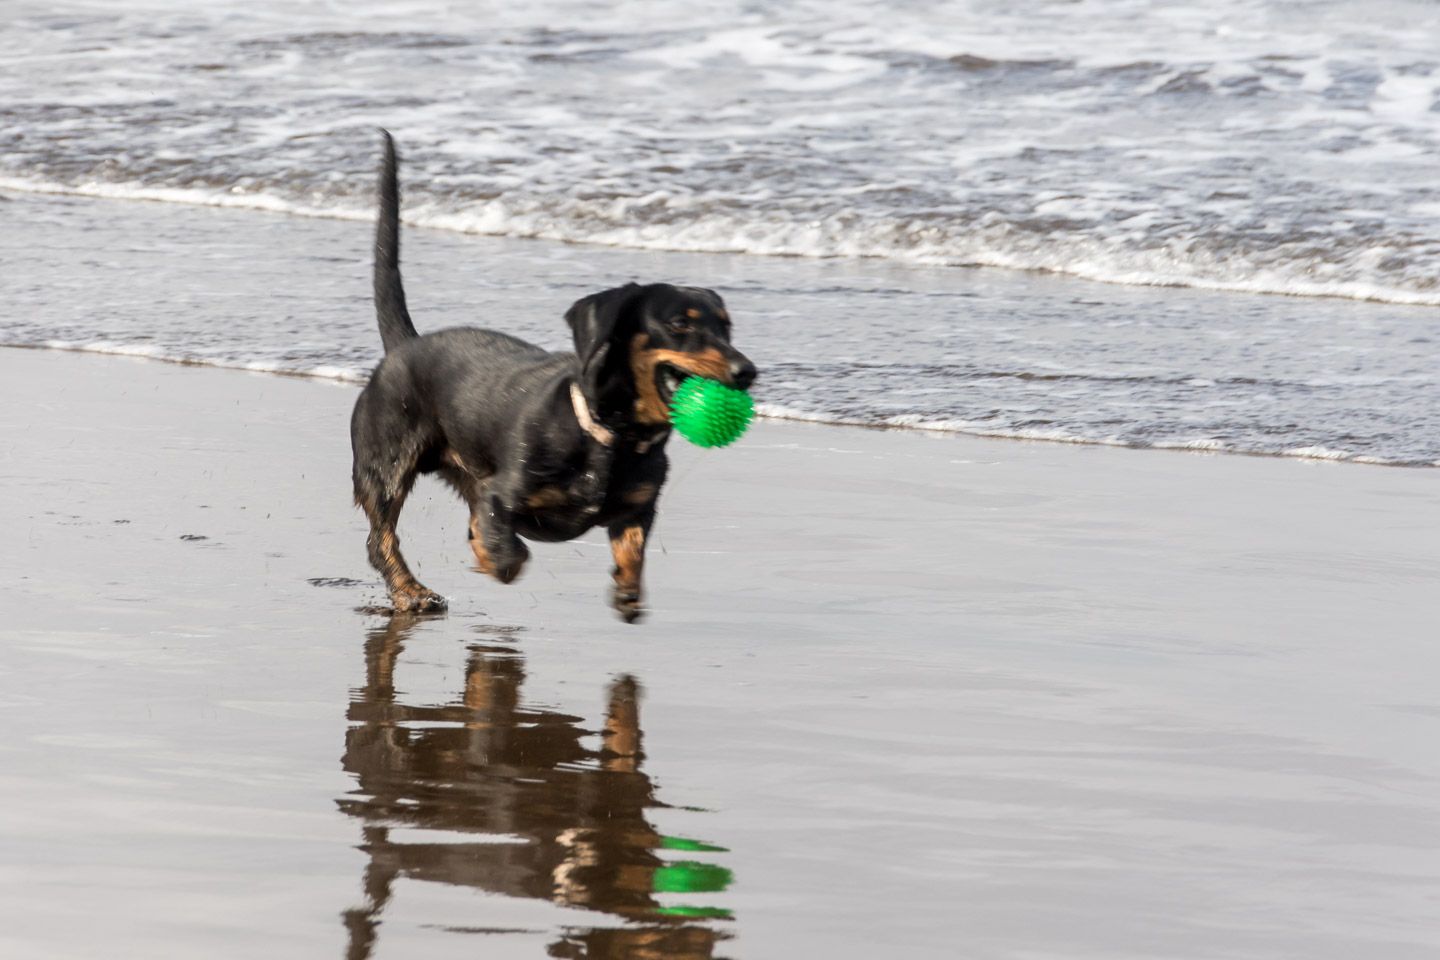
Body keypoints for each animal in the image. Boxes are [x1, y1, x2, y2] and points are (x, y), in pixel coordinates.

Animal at [351, 136, 754, 624]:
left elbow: (633, 548)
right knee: (379, 539)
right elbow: (506, 545)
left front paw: (628, 590)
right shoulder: (498, 491)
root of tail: (404, 345)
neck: (610, 436)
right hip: (385, 466)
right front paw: (494, 557)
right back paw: (411, 591)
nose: (747, 372)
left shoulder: (638, 507)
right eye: (680, 323)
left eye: (727, 327)